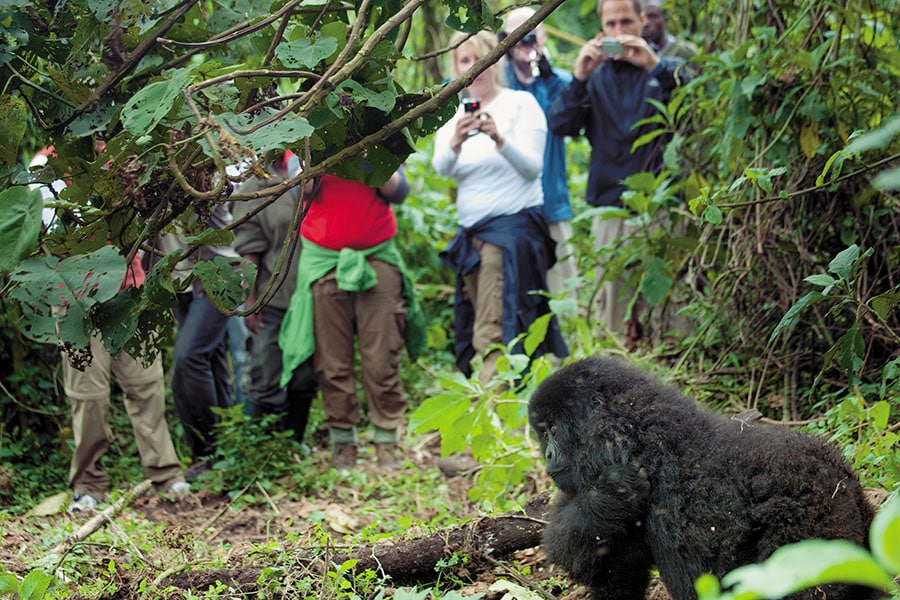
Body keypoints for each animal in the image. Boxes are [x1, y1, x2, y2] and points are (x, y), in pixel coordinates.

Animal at [528, 356, 880, 600]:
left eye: (552, 429)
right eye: (542, 433)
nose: (548, 456)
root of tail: (845, 483)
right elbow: (605, 562)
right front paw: (613, 492)